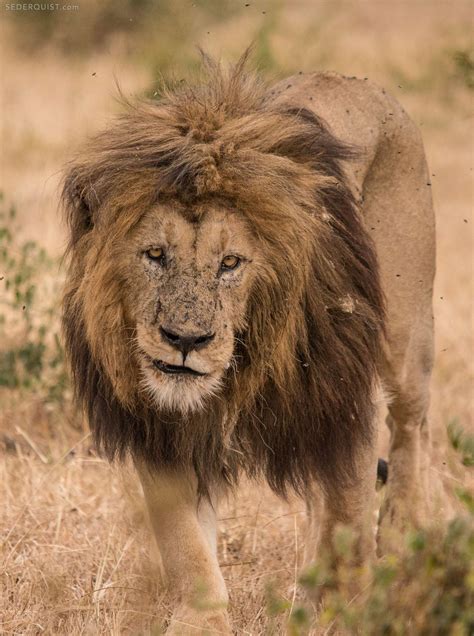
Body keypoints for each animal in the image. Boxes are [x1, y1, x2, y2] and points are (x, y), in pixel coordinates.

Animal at [61, 56, 436, 636]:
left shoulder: (343, 401)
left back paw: (400, 536)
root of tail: (354, 80)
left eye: (230, 263)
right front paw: (201, 620)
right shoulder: (159, 429)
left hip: (404, 340)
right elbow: (185, 544)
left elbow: (349, 521)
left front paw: (352, 609)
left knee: (409, 430)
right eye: (155, 255)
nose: (185, 340)